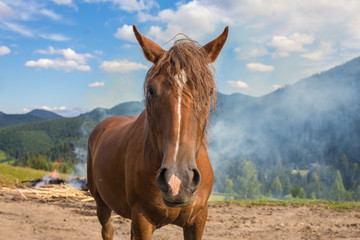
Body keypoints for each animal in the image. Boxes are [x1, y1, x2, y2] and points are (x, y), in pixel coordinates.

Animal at [87, 25, 228, 239]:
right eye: (152, 90)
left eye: (208, 92)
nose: (178, 181)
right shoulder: (142, 220)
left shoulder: (198, 219)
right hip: (101, 203)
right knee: (107, 230)